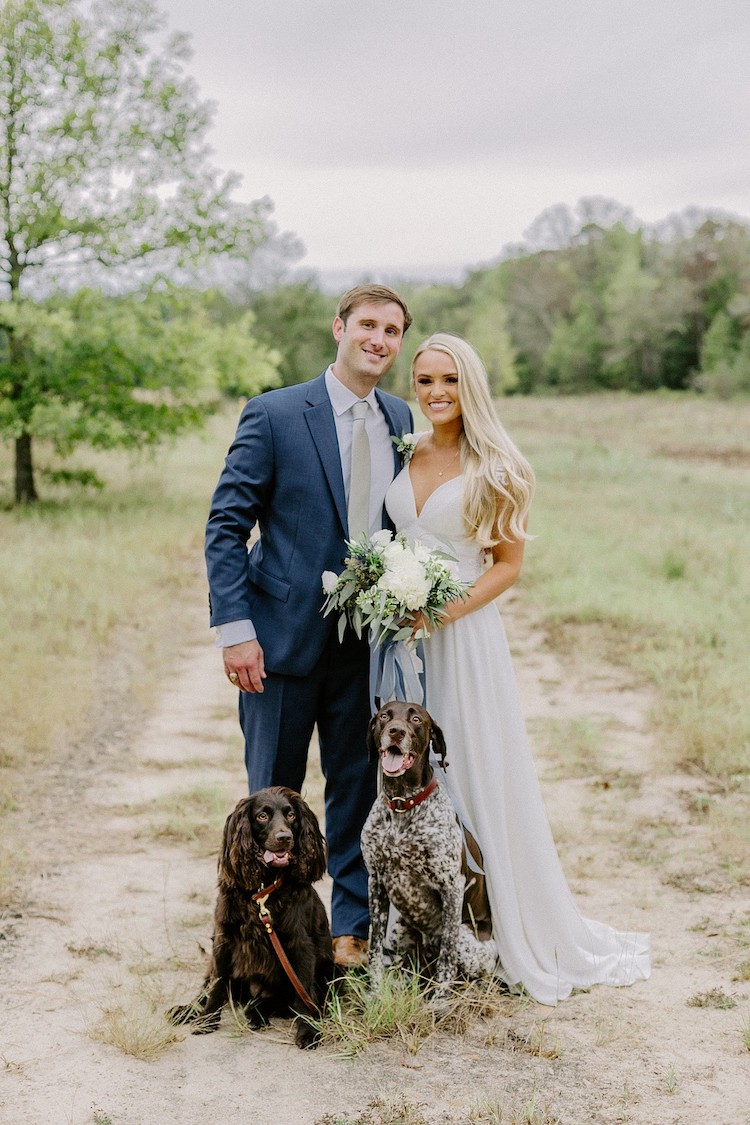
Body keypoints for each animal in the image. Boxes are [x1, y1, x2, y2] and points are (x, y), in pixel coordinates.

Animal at [362, 697, 499, 999]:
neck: (402, 804)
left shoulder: (451, 886)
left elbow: (447, 954)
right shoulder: (375, 882)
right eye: (384, 716)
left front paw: (441, 1000)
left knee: (468, 971)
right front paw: (375, 995)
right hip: (400, 931)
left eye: (416, 719)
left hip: (469, 943)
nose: (396, 731)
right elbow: (374, 948)